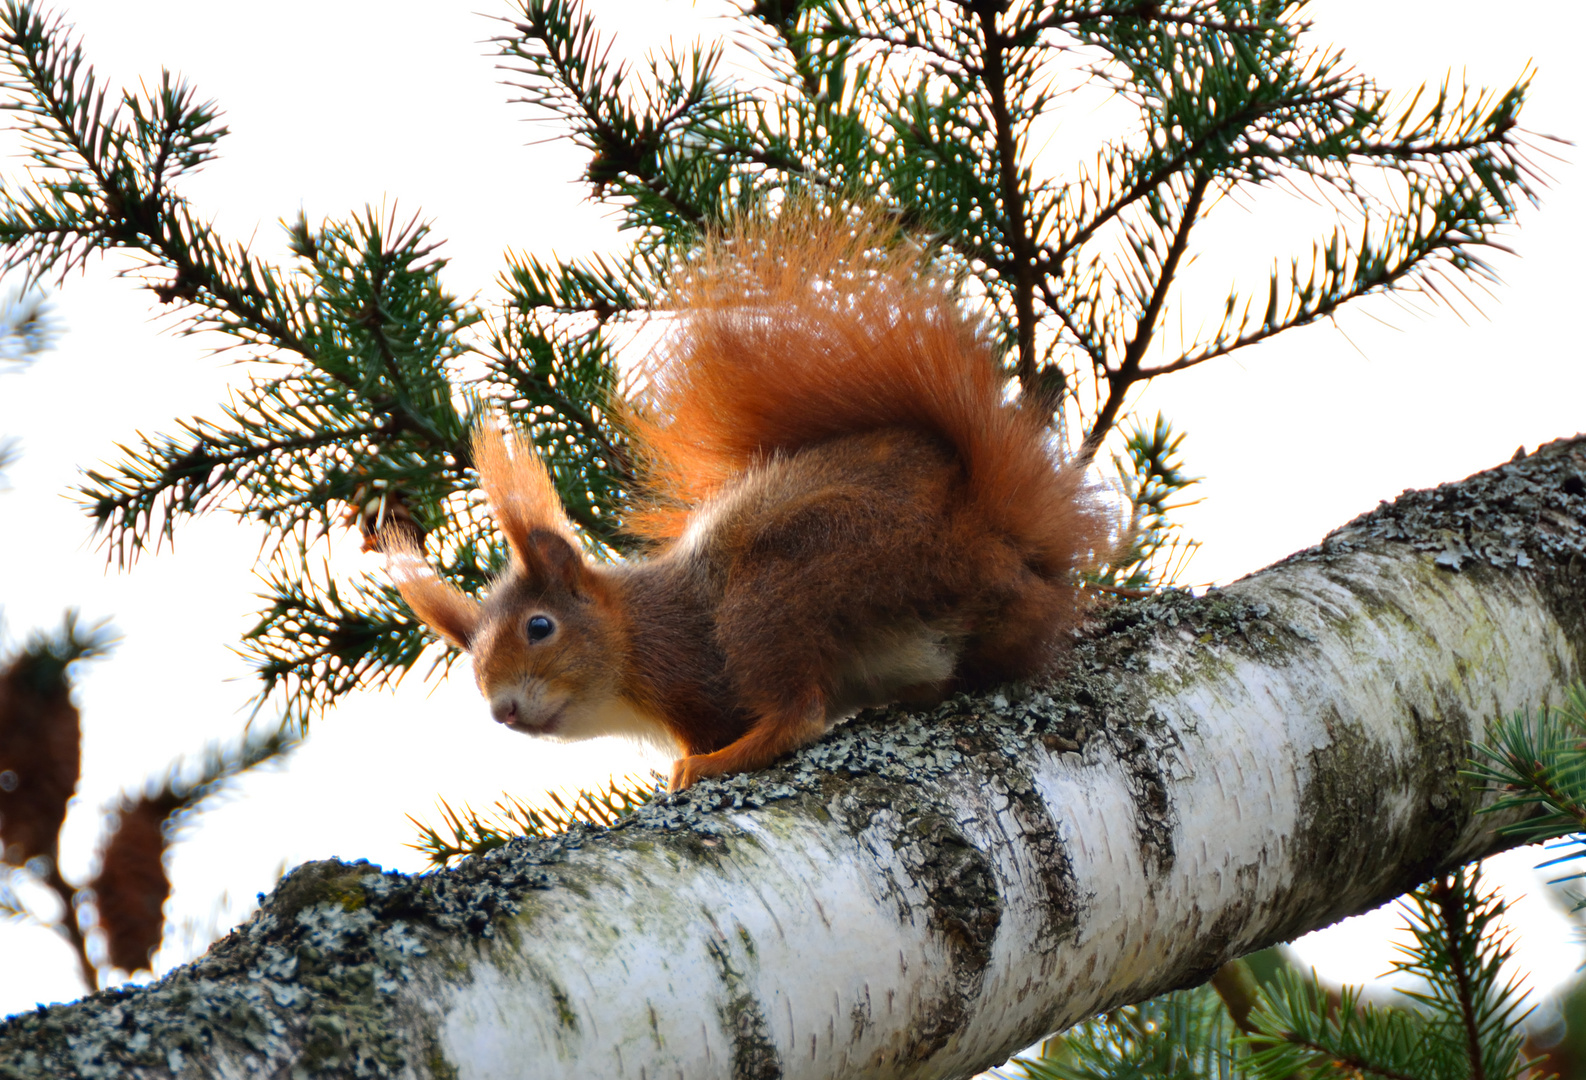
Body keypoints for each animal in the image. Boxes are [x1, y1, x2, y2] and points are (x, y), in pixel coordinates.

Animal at [382, 204, 1110, 792]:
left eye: (540, 627)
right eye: (472, 661)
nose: (502, 710)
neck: (635, 633)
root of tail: (989, 535)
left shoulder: (691, 668)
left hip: (781, 589)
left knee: (800, 713)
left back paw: (715, 764)